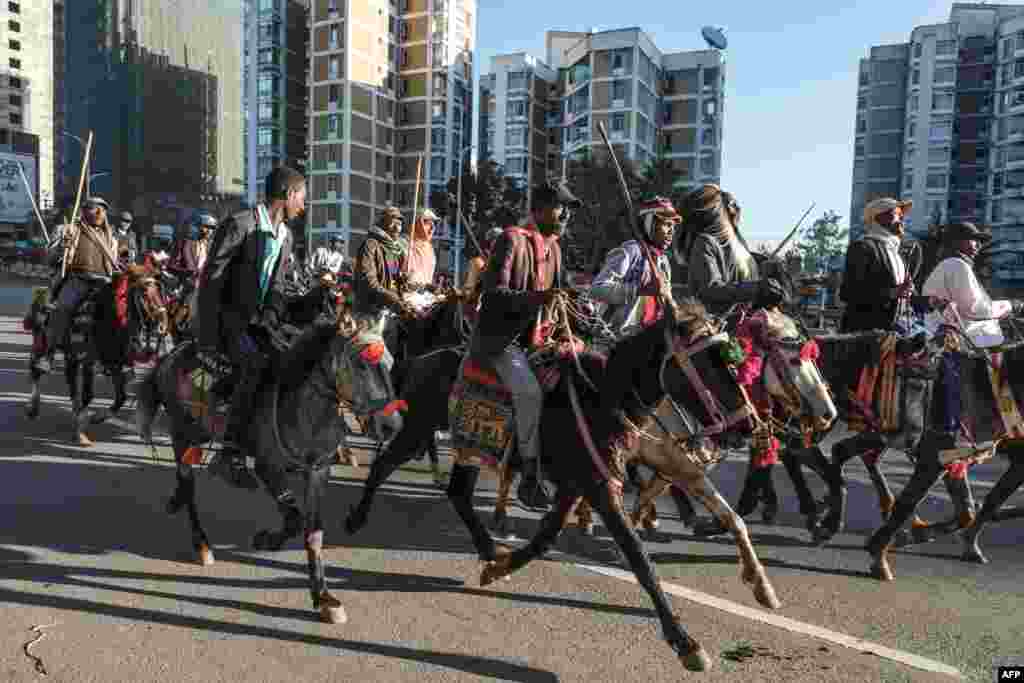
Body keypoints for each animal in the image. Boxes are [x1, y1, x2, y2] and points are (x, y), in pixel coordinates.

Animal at [24, 266, 169, 448]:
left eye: (158, 290)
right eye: (143, 292)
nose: (163, 323)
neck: (108, 315)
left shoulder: (115, 361)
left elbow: (121, 397)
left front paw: (96, 417)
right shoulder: (89, 360)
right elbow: (88, 394)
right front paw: (81, 433)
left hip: (71, 353)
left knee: (71, 379)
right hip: (42, 339)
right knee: (37, 369)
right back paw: (34, 408)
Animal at [134, 321, 405, 626]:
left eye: (390, 362)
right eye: (360, 364)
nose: (391, 425)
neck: (302, 407)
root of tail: (171, 355)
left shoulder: (317, 472)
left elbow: (313, 533)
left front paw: (324, 597)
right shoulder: (269, 468)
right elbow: (294, 520)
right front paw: (267, 539)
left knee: (183, 481)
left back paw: (176, 501)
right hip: (183, 432)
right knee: (188, 484)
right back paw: (201, 543)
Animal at [348, 296, 770, 671]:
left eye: (729, 362)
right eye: (705, 363)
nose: (748, 426)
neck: (604, 397)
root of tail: (420, 359)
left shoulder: (579, 483)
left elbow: (545, 538)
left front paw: (499, 569)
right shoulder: (600, 486)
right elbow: (638, 557)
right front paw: (685, 643)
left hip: (471, 447)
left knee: (459, 494)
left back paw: (489, 550)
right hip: (419, 429)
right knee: (383, 464)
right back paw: (356, 518)